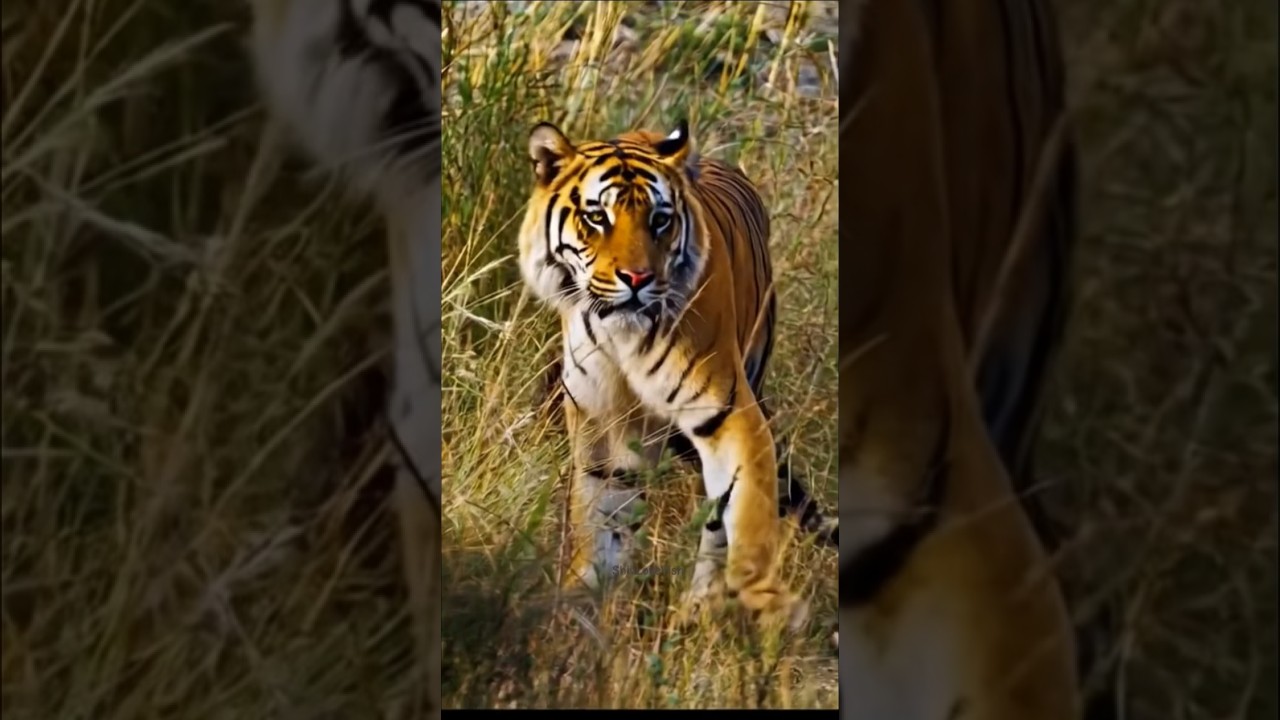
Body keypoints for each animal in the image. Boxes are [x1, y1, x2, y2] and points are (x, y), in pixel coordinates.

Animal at [517, 119, 837, 631]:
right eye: (597, 217)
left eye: (660, 220)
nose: (636, 279)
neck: (621, 337)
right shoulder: (602, 424)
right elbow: (600, 517)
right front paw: (580, 607)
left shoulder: (727, 410)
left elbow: (743, 515)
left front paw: (761, 597)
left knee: (719, 515)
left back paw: (699, 609)